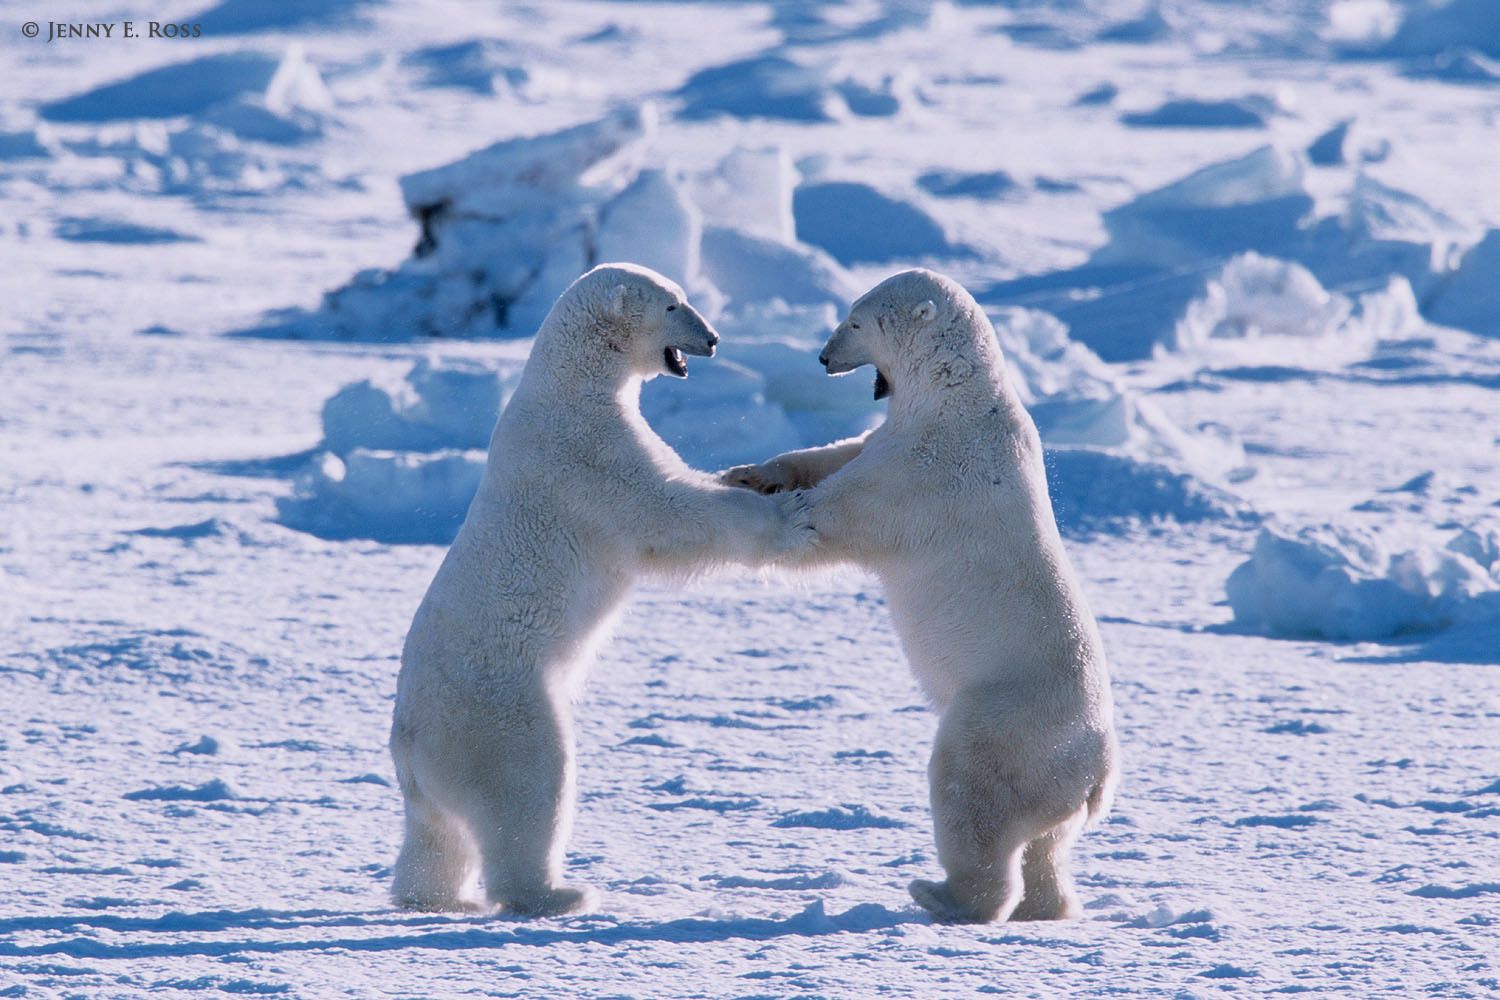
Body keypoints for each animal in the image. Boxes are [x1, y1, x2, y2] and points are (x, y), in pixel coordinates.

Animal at [390, 262, 809, 917]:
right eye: (673, 305)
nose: (714, 339)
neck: (567, 386)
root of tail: (410, 750)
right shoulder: (588, 455)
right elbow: (664, 513)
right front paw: (789, 516)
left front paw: (754, 477)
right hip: (498, 710)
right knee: (529, 788)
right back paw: (553, 892)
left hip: (437, 770)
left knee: (437, 836)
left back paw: (436, 899)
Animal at [723, 268, 1119, 924]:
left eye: (855, 320)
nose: (823, 357)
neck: (956, 402)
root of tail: (1097, 775)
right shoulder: (893, 436)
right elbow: (837, 451)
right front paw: (750, 474)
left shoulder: (924, 473)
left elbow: (841, 514)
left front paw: (771, 512)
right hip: (1053, 781)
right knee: (1048, 846)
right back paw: (1046, 906)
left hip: (1008, 725)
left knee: (971, 796)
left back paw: (943, 895)